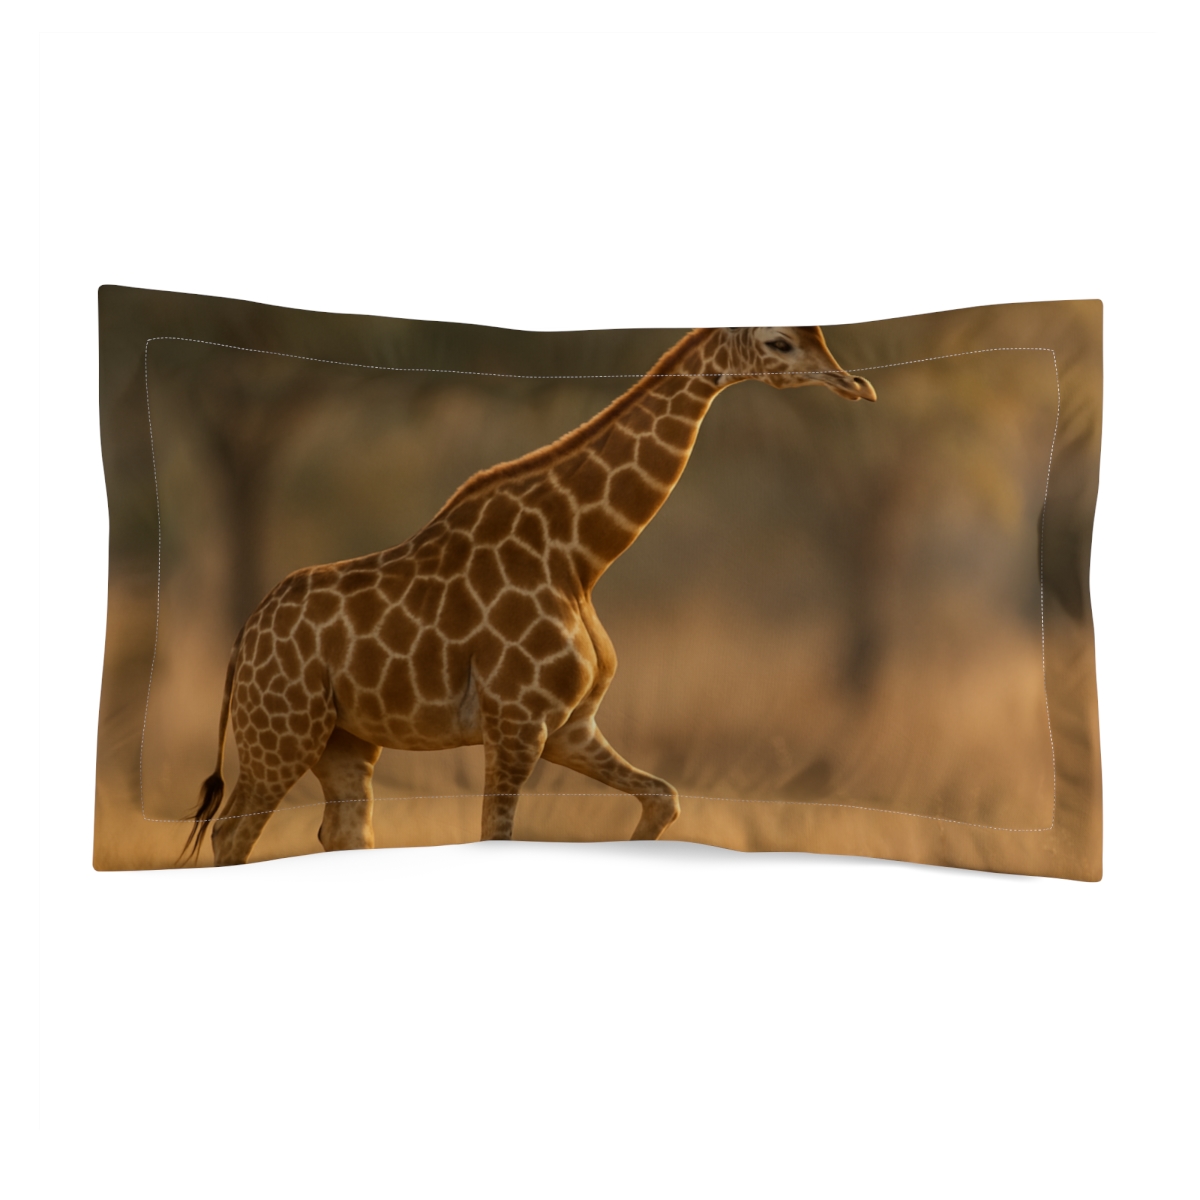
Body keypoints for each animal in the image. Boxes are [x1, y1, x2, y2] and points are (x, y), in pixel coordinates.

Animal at [183, 327, 876, 865]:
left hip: (345, 742)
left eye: (822, 332)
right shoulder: (517, 722)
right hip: (281, 733)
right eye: (780, 342)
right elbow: (497, 833)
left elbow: (665, 797)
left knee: (344, 833)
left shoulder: (571, 725)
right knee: (230, 834)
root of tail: (244, 639)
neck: (578, 556)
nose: (857, 386)